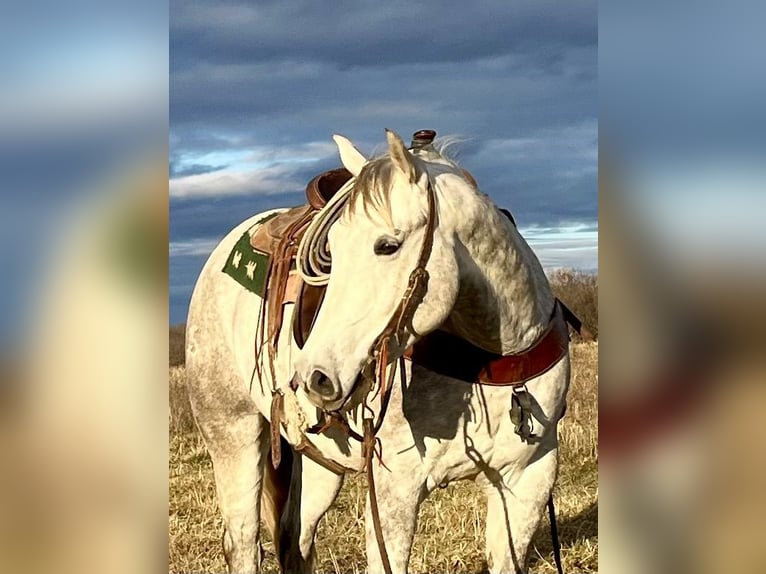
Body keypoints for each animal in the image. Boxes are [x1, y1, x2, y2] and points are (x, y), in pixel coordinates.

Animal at [186, 130, 568, 574]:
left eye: (387, 245)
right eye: (332, 250)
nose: (315, 377)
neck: (493, 359)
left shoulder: (528, 480)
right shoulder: (394, 489)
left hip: (319, 462)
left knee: (295, 537)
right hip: (234, 434)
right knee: (244, 543)